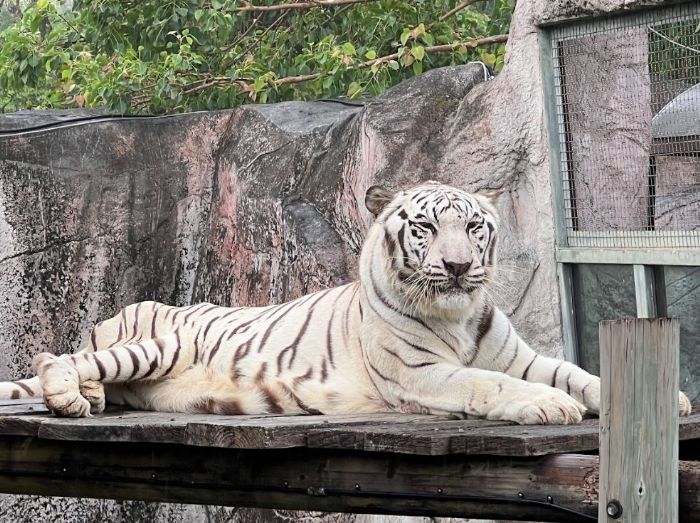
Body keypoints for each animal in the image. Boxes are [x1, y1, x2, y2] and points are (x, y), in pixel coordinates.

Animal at [0, 182, 688, 424]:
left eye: (473, 226)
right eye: (425, 228)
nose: (457, 266)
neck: (458, 314)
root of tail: (112, 317)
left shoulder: (519, 355)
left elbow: (577, 372)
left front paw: (672, 398)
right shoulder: (421, 373)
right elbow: (487, 385)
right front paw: (551, 407)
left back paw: (89, 398)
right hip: (156, 342)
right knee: (56, 358)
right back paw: (69, 397)